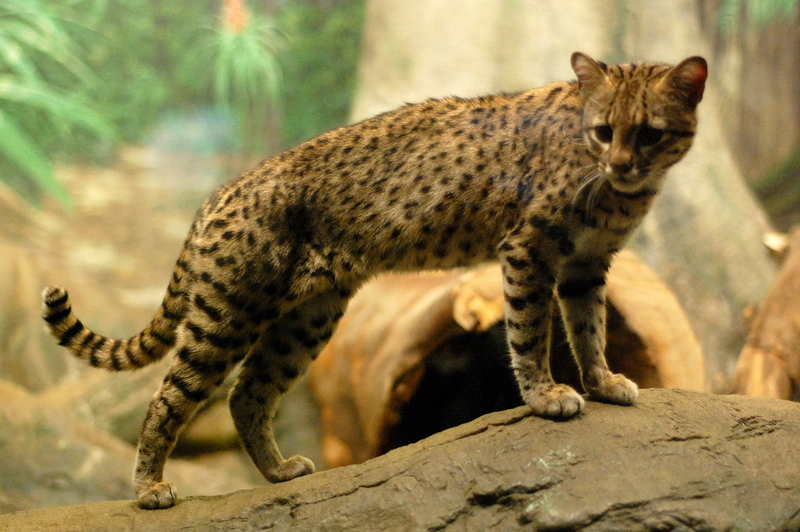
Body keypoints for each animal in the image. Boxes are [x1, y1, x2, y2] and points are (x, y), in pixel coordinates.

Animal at [43, 52, 708, 510]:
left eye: (649, 132)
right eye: (604, 130)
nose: (622, 165)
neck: (613, 187)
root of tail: (219, 192)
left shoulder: (585, 265)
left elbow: (590, 328)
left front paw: (602, 382)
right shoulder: (528, 250)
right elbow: (530, 333)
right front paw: (547, 396)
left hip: (307, 318)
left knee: (247, 393)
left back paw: (277, 473)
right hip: (227, 316)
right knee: (169, 397)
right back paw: (149, 490)